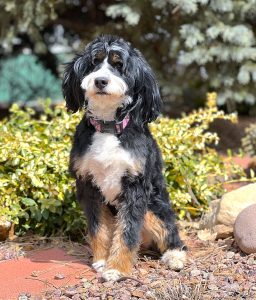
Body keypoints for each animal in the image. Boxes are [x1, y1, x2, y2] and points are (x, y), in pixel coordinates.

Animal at [62, 35, 186, 282]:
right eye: (94, 63)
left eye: (119, 65)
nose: (100, 81)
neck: (108, 127)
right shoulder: (88, 185)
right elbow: (98, 227)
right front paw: (102, 260)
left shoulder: (135, 187)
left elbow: (127, 231)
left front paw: (116, 269)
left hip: (154, 205)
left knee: (168, 229)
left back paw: (174, 255)